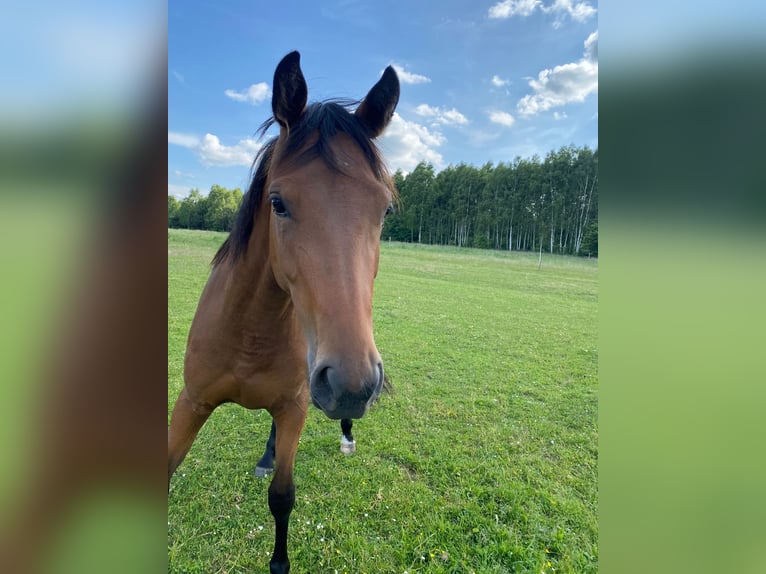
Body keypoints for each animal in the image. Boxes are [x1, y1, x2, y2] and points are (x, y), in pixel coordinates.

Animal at [169, 51, 402, 572]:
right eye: (277, 203)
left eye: (384, 211)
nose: (352, 385)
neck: (249, 331)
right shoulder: (192, 401)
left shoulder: (297, 407)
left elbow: (282, 497)